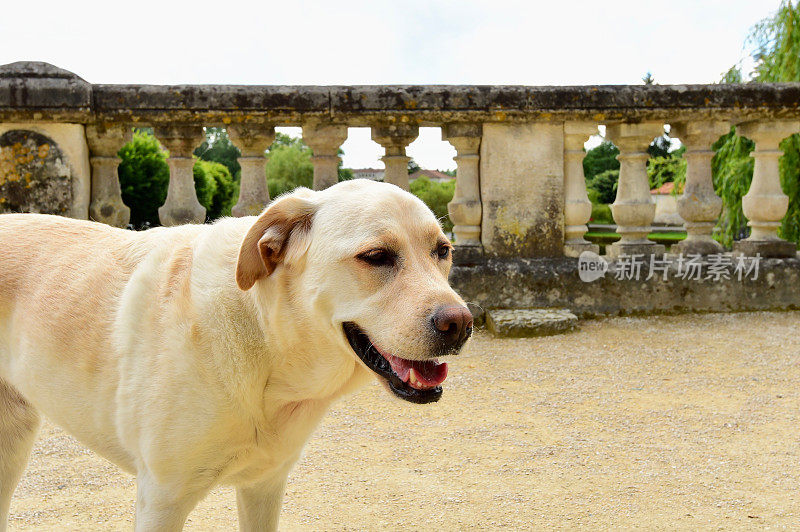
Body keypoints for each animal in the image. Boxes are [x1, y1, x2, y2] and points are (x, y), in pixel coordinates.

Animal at [0, 181, 472, 528]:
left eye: (442, 250)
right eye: (375, 256)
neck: (265, 353)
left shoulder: (265, 487)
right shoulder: (161, 499)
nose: (461, 324)